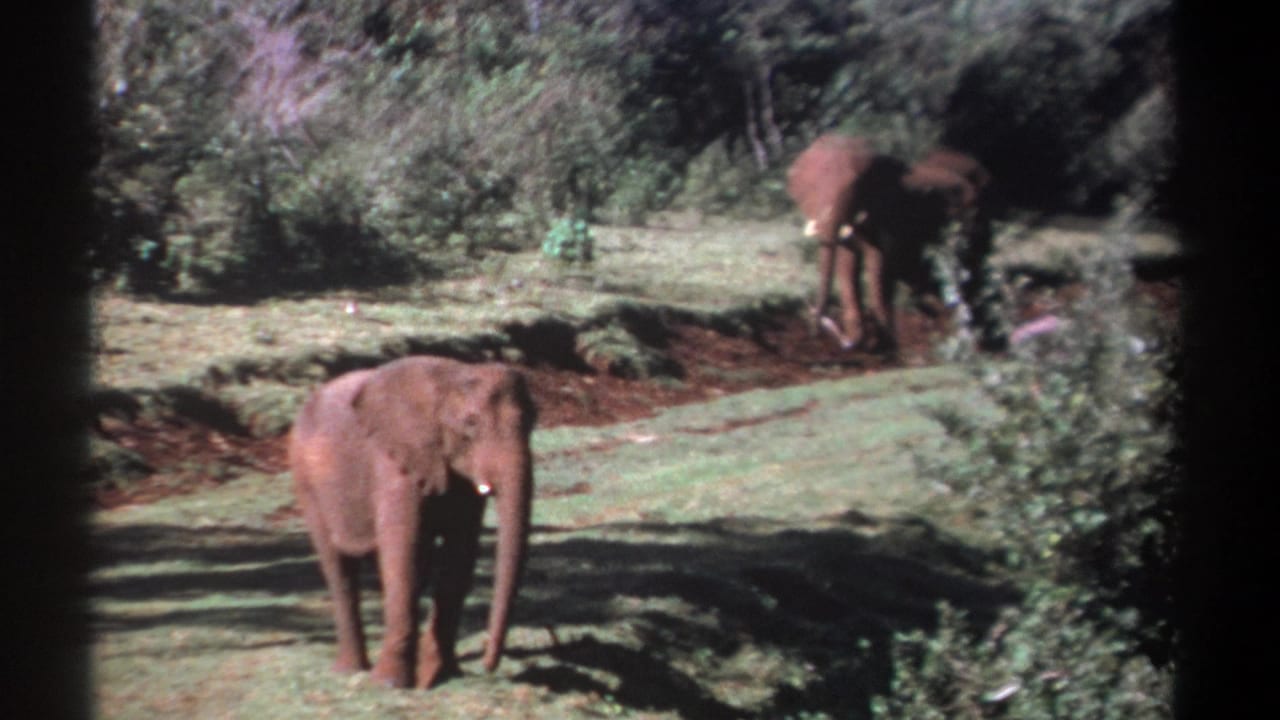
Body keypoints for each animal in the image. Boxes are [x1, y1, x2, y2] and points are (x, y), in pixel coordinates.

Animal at [288, 356, 536, 689]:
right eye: (471, 423)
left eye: (534, 421)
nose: (488, 666)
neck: (452, 377)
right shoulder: (394, 462)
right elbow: (402, 550)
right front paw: (389, 684)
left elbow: (461, 553)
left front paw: (441, 675)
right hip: (306, 481)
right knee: (338, 568)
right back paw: (350, 671)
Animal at [786, 134, 993, 353]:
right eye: (814, 187)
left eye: (858, 185)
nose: (816, 329)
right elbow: (847, 263)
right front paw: (866, 339)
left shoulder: (885, 214)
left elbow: (878, 262)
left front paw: (886, 342)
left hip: (973, 217)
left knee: (969, 267)